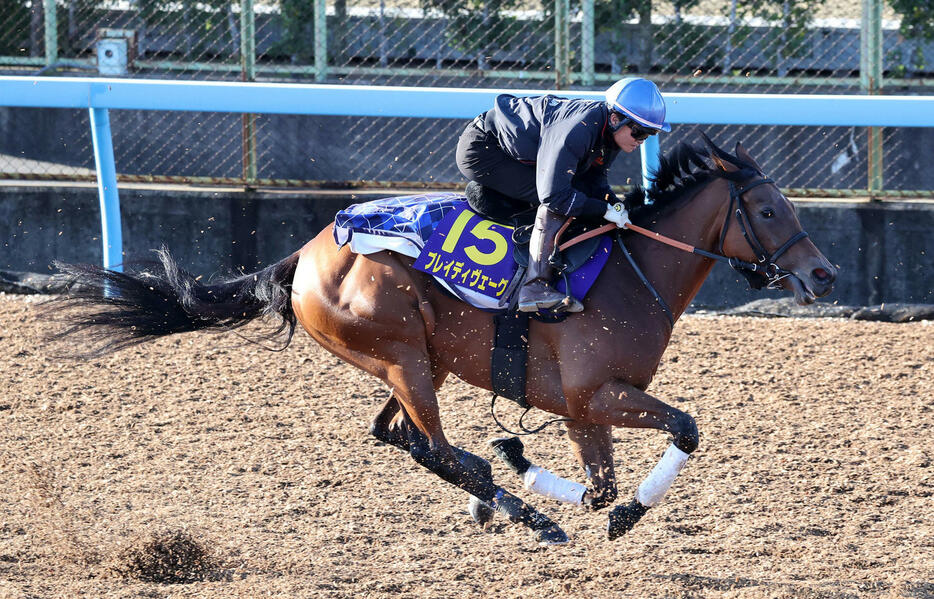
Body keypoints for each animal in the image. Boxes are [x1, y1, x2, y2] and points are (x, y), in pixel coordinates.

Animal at [49, 135, 840, 544]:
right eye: (769, 209)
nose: (824, 273)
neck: (630, 269)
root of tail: (304, 252)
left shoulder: (583, 410)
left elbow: (599, 485)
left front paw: (535, 465)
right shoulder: (595, 394)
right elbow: (680, 432)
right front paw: (614, 512)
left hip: (416, 360)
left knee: (400, 435)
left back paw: (499, 488)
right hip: (400, 354)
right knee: (430, 446)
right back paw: (520, 509)